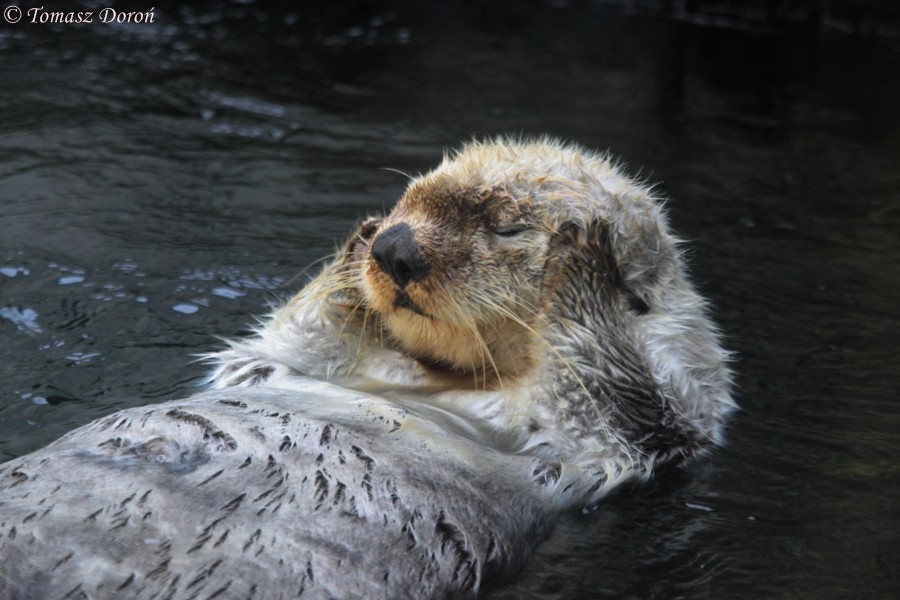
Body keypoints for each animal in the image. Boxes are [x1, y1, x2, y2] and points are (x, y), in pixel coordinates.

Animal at [0, 138, 735, 599]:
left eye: (506, 225)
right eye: (411, 199)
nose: (396, 248)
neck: (445, 381)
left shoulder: (625, 435)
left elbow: (617, 389)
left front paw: (586, 265)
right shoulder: (283, 365)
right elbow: (290, 339)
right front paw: (358, 245)